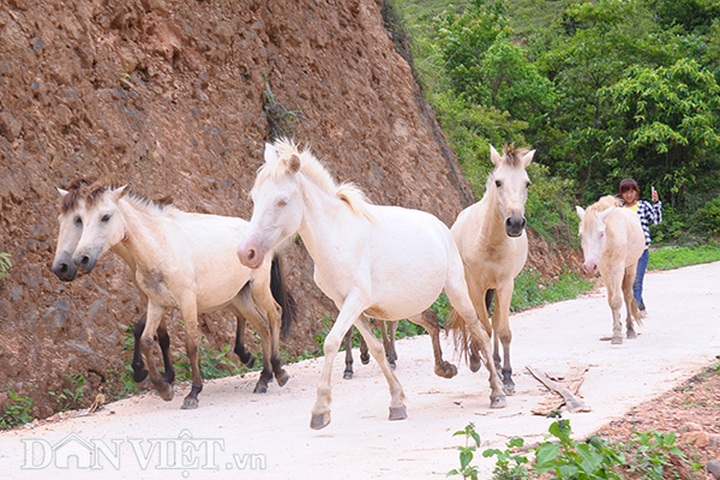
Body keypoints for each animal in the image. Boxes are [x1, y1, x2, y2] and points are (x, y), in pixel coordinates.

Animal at [53, 182, 295, 408]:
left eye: (105, 217)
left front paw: (193, 392)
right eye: (82, 220)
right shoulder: (156, 303)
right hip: (240, 296)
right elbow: (147, 340)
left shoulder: (187, 302)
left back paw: (278, 372)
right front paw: (163, 388)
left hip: (258, 288)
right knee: (262, 325)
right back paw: (263, 379)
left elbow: (191, 345)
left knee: (275, 314)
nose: (78, 260)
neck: (160, 247)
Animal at [237, 138, 506, 430]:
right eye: (254, 198)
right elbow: (376, 349)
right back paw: (445, 369)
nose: (246, 253)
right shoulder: (345, 303)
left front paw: (320, 411)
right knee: (433, 322)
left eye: (282, 201)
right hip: (407, 306)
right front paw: (397, 403)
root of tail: (441, 226)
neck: (337, 236)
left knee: (479, 330)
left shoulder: (356, 300)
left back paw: (497, 391)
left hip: (456, 291)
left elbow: (331, 342)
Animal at [448, 144, 534, 394]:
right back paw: (478, 360)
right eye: (498, 182)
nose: (515, 223)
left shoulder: (505, 283)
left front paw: (506, 376)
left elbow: (502, 329)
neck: (489, 241)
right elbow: (483, 329)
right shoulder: (476, 286)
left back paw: (494, 361)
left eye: (527, 183)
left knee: (495, 321)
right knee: (476, 322)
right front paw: (491, 374)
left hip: (494, 287)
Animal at [576, 195, 645, 344]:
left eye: (601, 234)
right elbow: (611, 301)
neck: (609, 242)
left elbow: (618, 299)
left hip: (631, 267)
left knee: (627, 295)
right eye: (581, 235)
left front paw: (618, 335)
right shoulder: (604, 270)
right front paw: (616, 330)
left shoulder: (618, 268)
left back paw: (630, 330)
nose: (589, 266)